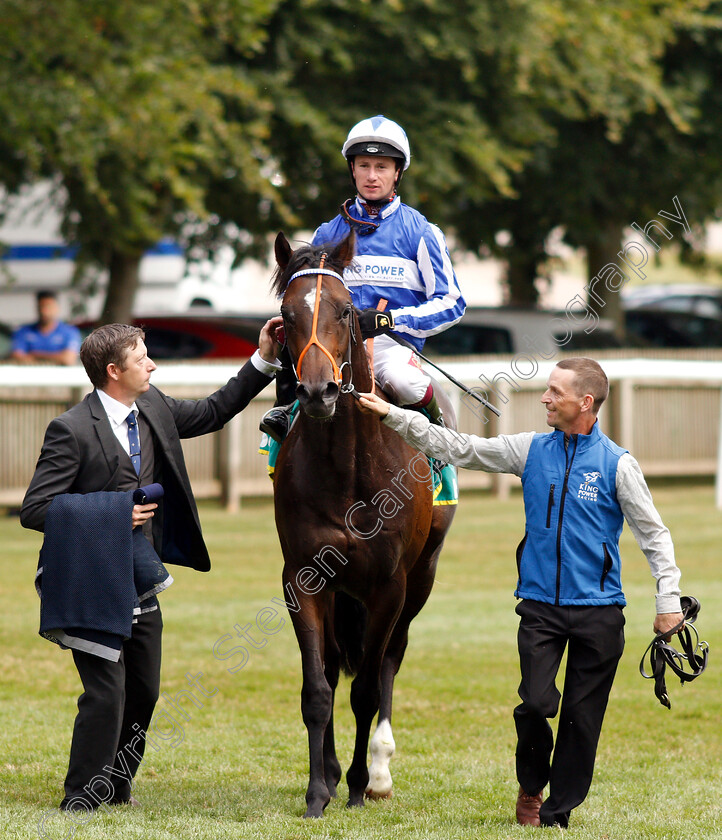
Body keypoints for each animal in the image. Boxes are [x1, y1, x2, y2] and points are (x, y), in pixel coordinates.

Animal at [270, 228, 456, 812]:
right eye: (286, 313)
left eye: (345, 310)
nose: (317, 391)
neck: (348, 470)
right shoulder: (304, 577)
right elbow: (319, 685)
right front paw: (319, 788)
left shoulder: (387, 586)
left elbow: (367, 689)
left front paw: (356, 782)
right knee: (335, 664)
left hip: (422, 579)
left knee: (389, 661)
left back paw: (378, 772)